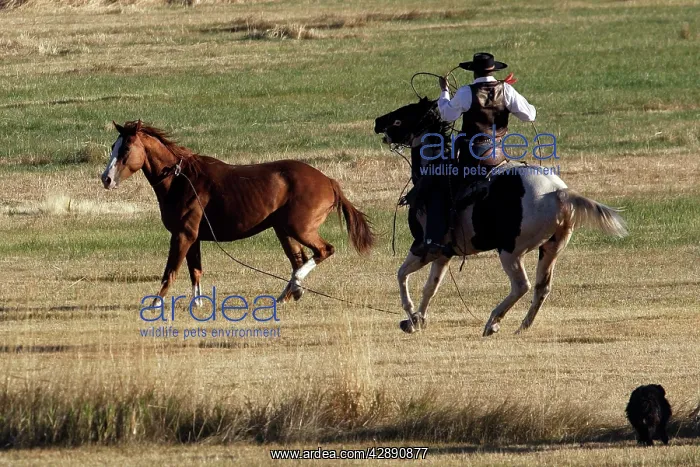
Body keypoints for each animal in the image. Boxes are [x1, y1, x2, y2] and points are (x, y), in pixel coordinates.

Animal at [101, 120, 375, 306]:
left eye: (125, 150)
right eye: (113, 146)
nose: (106, 179)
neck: (182, 179)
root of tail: (328, 181)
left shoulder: (183, 235)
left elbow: (170, 272)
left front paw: (155, 304)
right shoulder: (193, 237)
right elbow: (195, 271)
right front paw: (197, 304)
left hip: (300, 228)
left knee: (323, 251)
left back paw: (294, 287)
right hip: (284, 230)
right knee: (299, 260)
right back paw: (288, 294)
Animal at [374, 98, 628, 337]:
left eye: (404, 113)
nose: (378, 122)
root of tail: (557, 193)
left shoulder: (423, 246)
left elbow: (401, 274)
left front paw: (411, 316)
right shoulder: (444, 253)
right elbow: (431, 286)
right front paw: (418, 319)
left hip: (510, 252)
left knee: (521, 286)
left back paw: (492, 322)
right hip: (551, 248)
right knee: (542, 287)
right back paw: (522, 326)